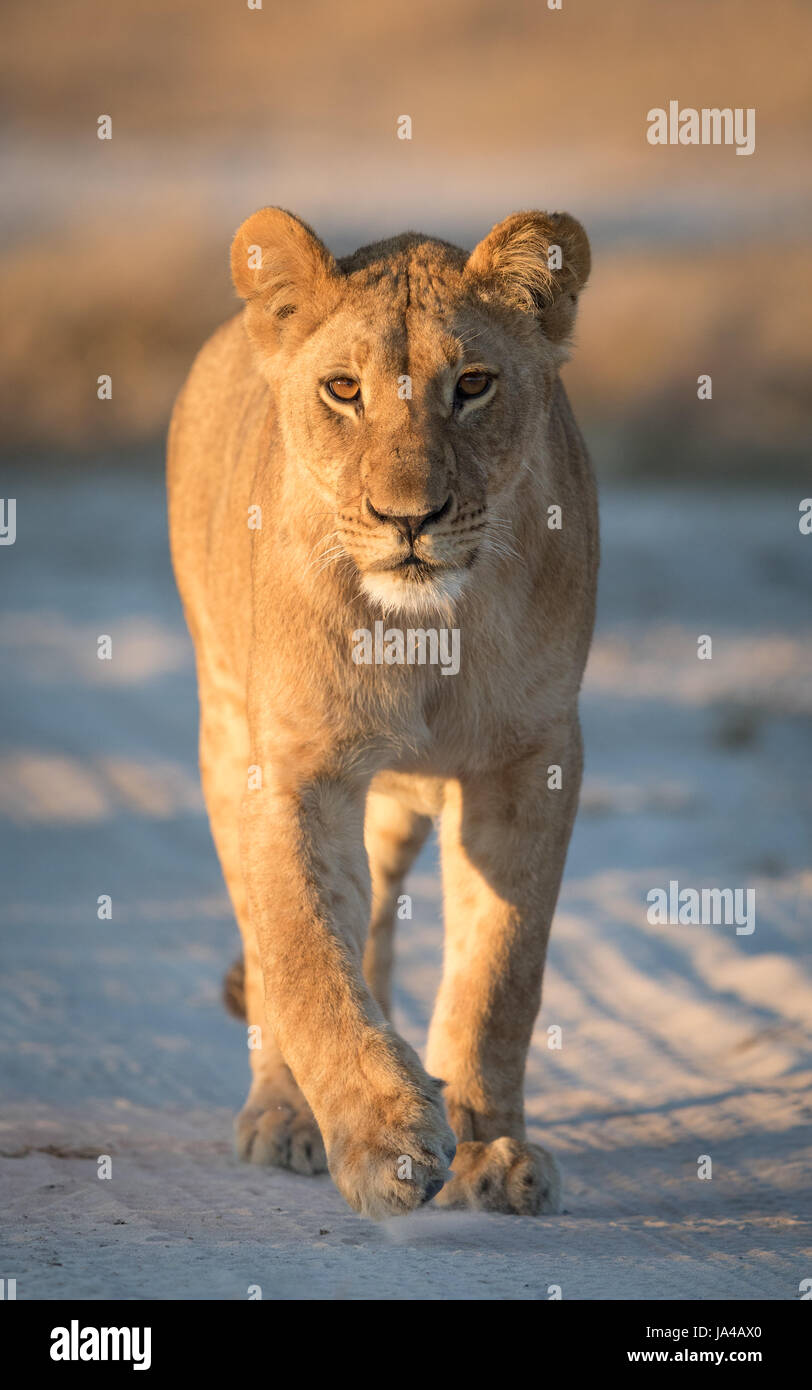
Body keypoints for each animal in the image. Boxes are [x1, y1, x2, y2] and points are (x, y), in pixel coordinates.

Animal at [166, 205, 595, 1217]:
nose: (410, 517)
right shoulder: (295, 763)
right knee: (274, 944)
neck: (427, 636)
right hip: (223, 731)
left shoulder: (532, 758)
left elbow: (500, 967)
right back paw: (286, 1115)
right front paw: (385, 1137)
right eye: (343, 390)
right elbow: (306, 952)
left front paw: (492, 1149)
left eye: (472, 385)